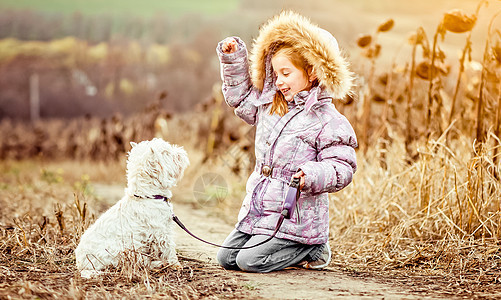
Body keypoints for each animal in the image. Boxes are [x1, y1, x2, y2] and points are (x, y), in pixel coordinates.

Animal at [74, 138, 189, 278]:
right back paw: (158, 265)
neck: (148, 196)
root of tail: (82, 266)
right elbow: (169, 248)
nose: (182, 151)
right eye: (166, 152)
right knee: (139, 263)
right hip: (124, 250)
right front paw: (176, 264)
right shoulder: (161, 232)